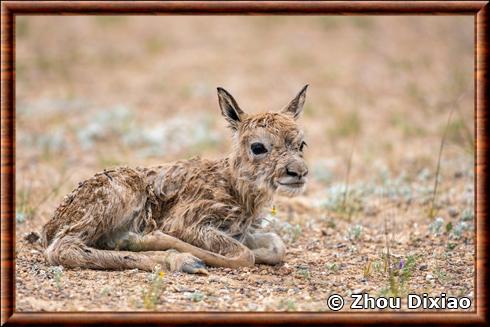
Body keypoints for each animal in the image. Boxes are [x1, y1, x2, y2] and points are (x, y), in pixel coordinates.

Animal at [43, 86, 310, 274]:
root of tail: (50, 225)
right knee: (63, 249)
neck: (234, 187)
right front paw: (147, 240)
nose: (298, 172)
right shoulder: (187, 222)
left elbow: (277, 246)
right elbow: (245, 256)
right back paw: (177, 258)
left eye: (301, 144)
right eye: (258, 147)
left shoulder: (239, 231)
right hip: (121, 196)